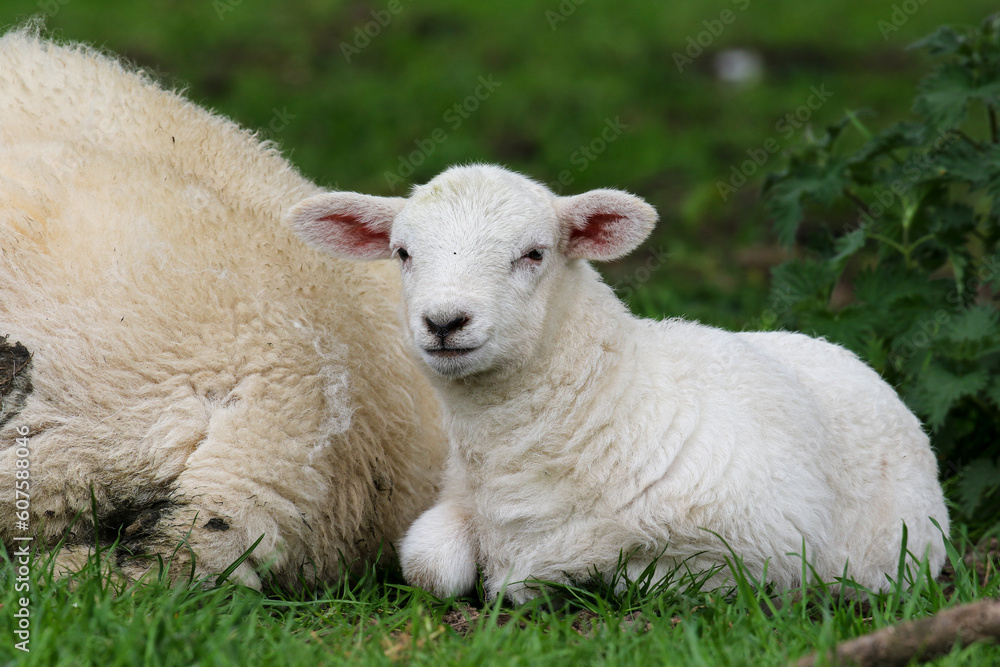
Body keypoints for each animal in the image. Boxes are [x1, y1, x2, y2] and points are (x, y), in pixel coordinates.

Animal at [288, 163, 950, 603]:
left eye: (534, 253)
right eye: (402, 253)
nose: (445, 321)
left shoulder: (765, 545)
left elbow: (634, 577)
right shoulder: (456, 502)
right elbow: (428, 566)